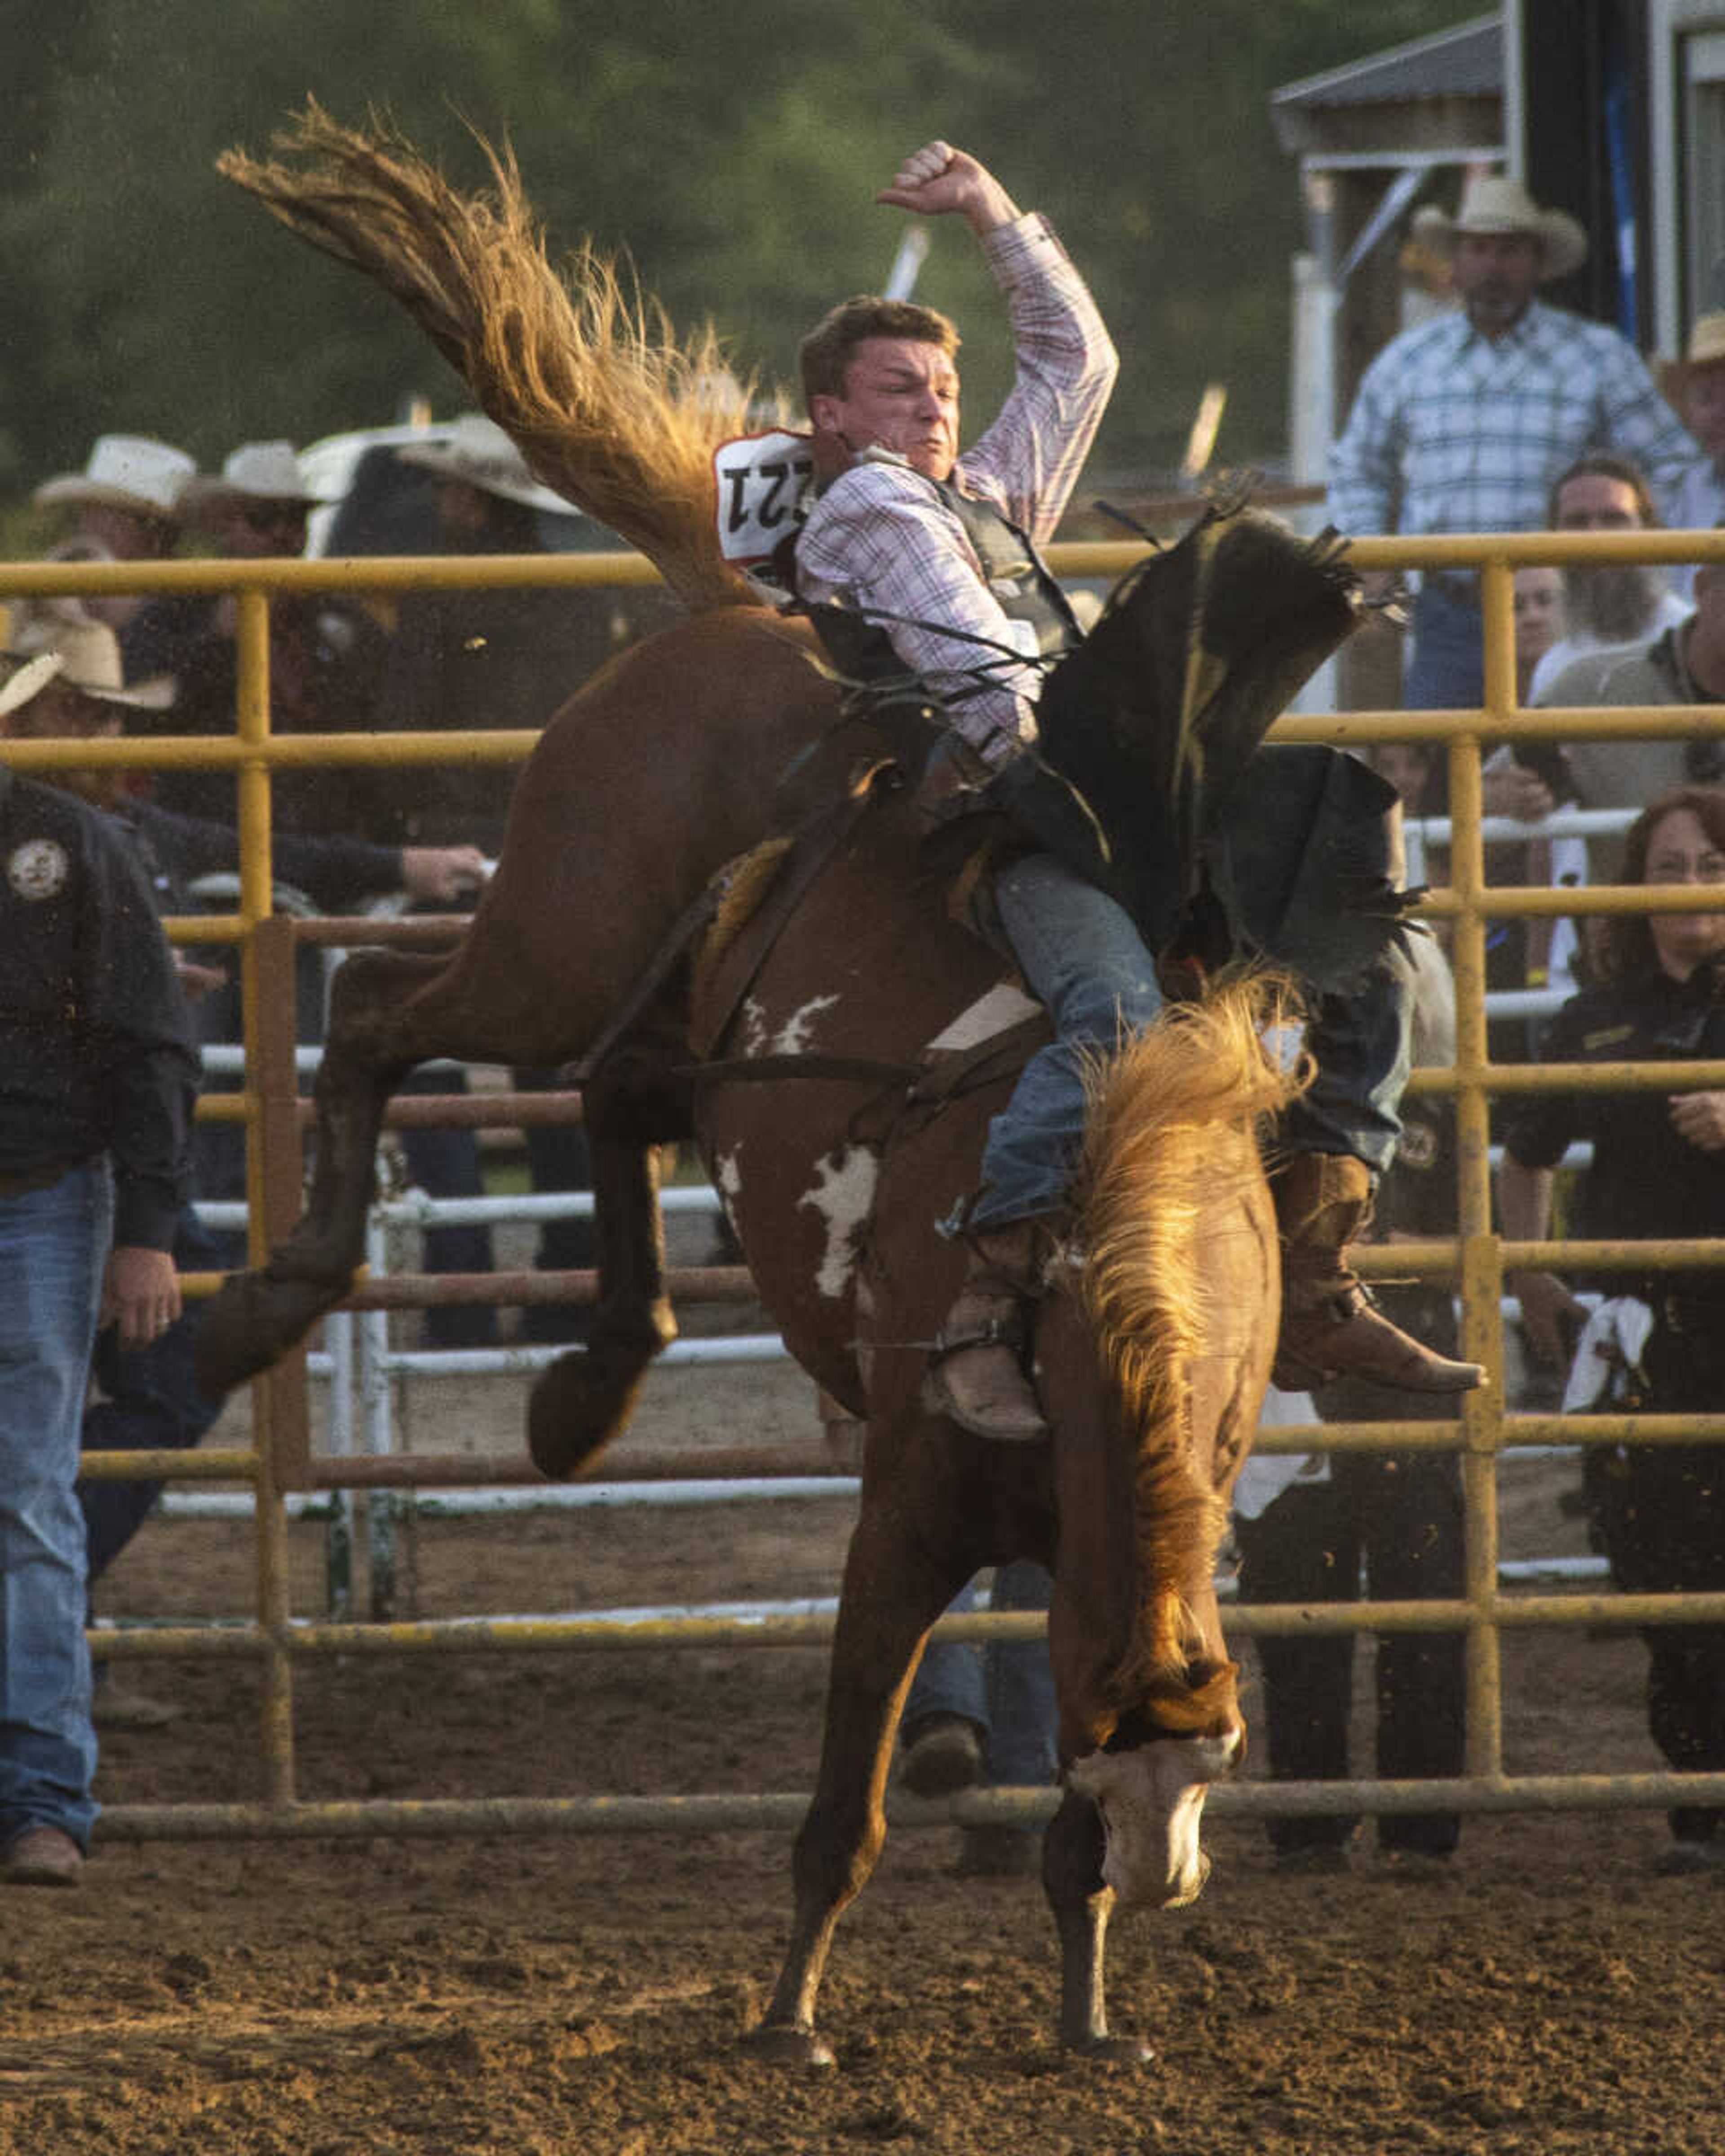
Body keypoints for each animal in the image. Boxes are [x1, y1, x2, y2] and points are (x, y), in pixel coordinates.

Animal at [192, 109, 1371, 2061]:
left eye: (1208, 1770)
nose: (1174, 1884)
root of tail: (742, 623)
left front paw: (1086, 2005)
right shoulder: (903, 1509)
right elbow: (849, 1803)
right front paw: (790, 2010)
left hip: (678, 1017)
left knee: (608, 1111)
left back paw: (587, 1389)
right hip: (555, 932)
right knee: (371, 1004)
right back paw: (280, 1294)